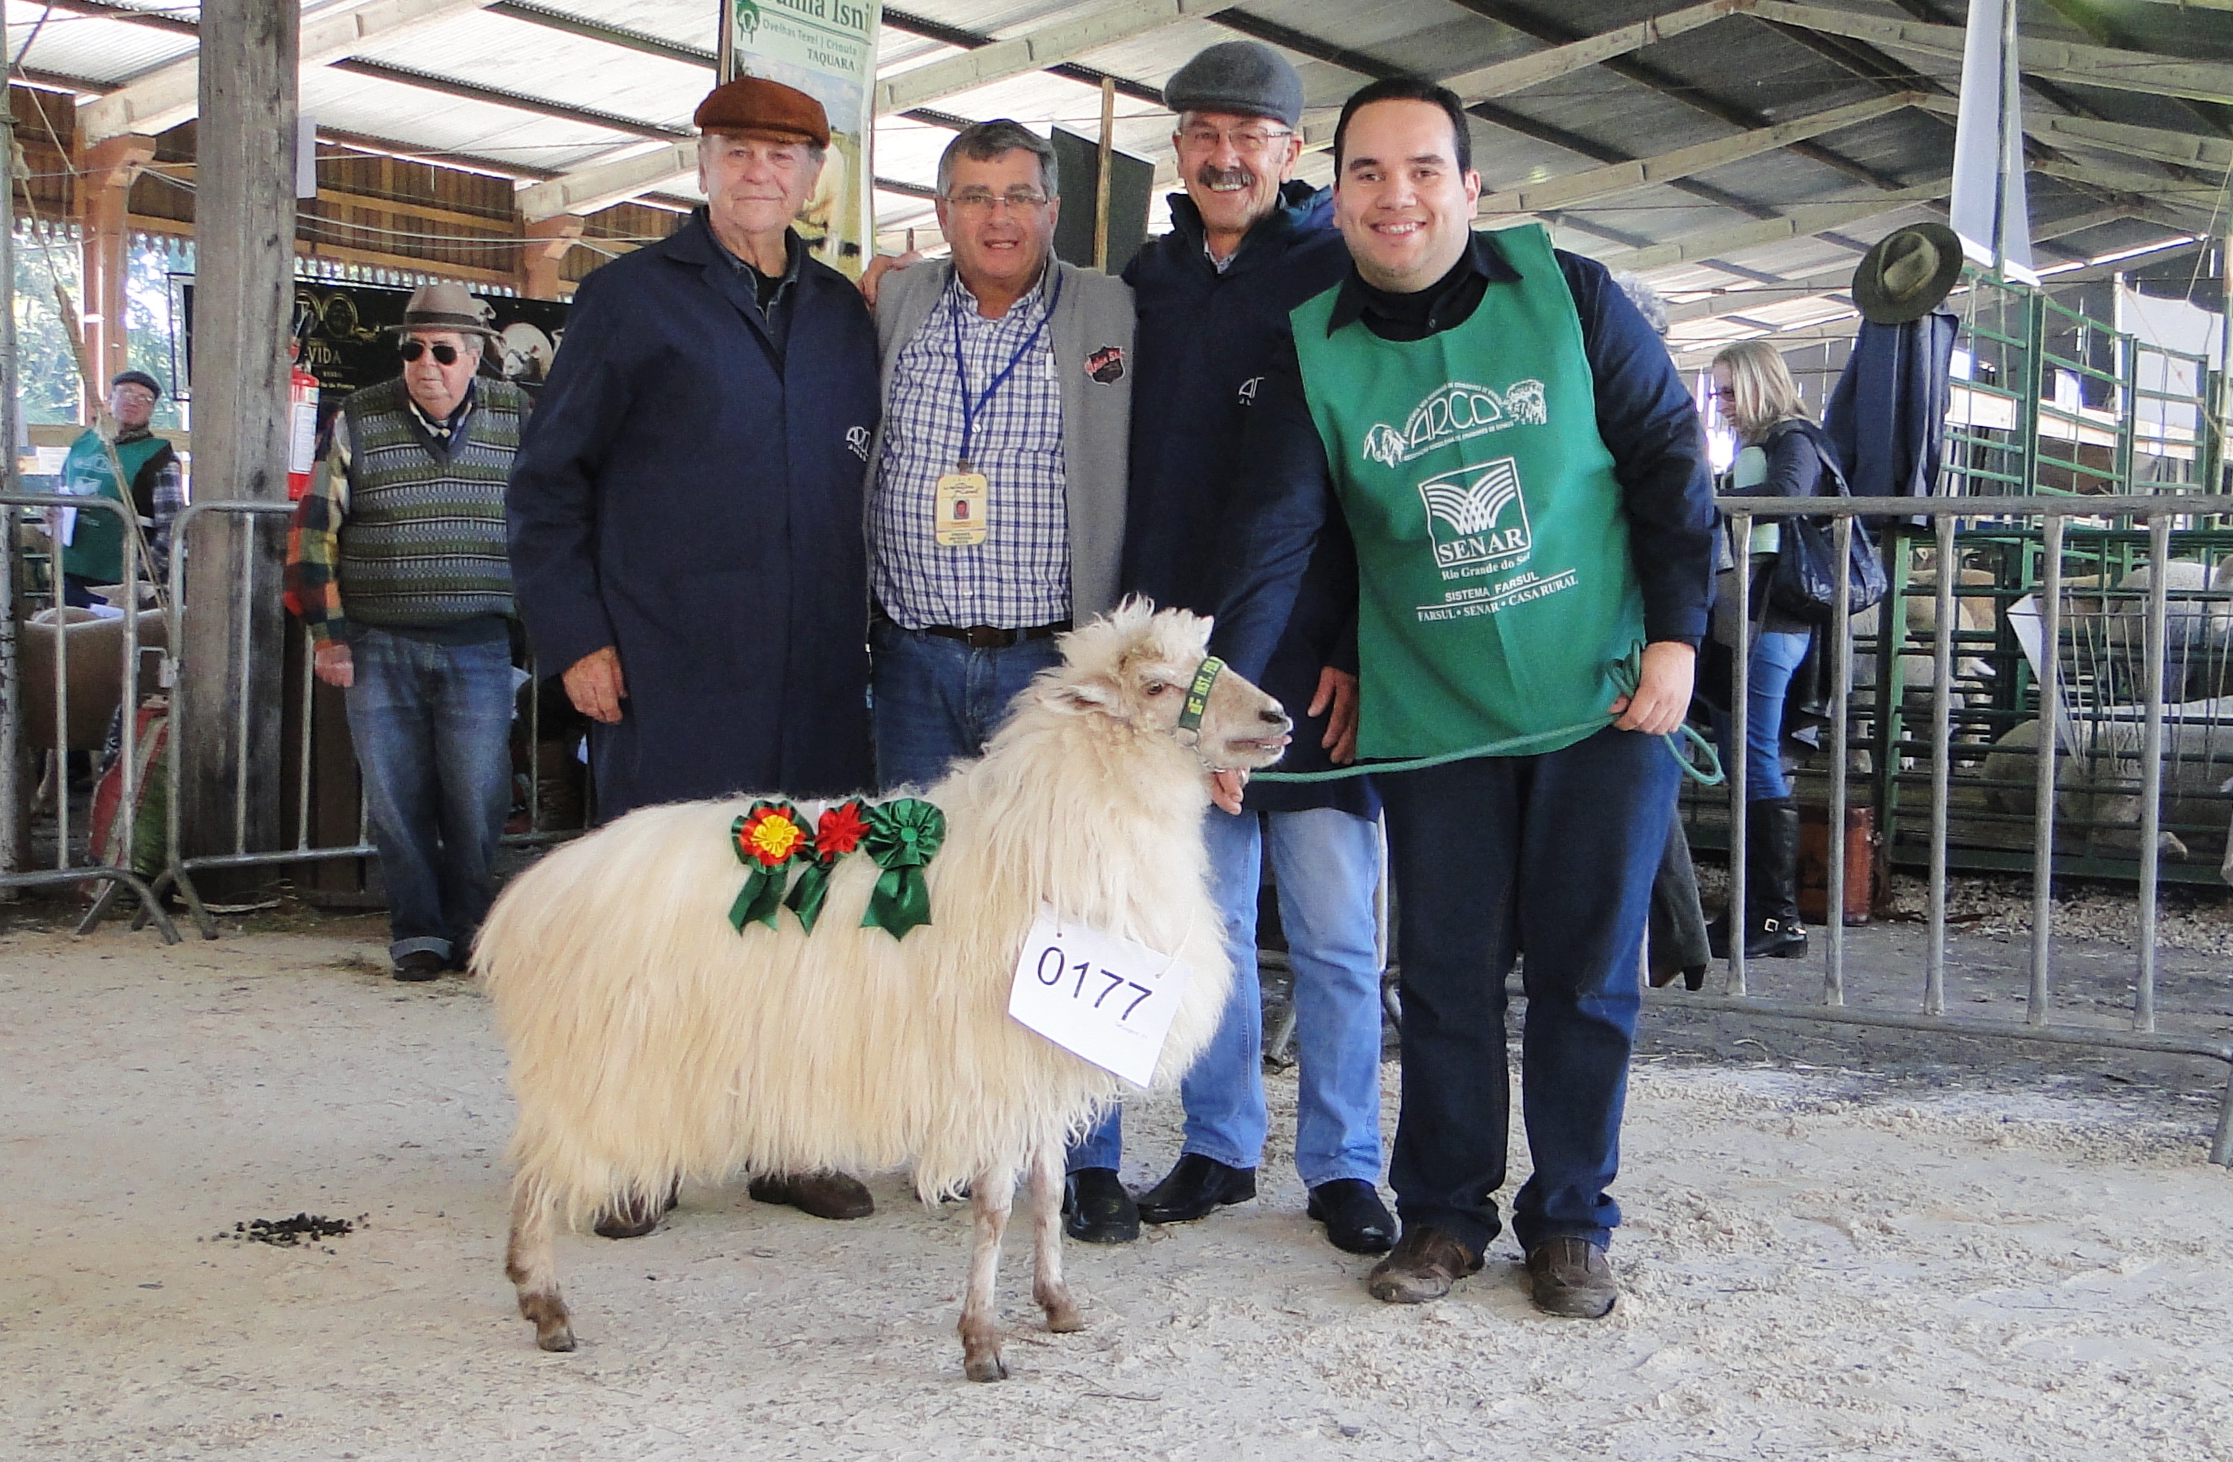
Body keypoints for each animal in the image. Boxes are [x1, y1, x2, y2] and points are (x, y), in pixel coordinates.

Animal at [476, 602, 1293, 1382]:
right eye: (1156, 687)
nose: (1279, 718)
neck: (1041, 841)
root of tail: (527, 898)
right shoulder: (992, 1071)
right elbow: (997, 1209)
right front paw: (982, 1343)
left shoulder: (1037, 1063)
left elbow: (1047, 1191)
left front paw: (1057, 1303)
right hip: (589, 1063)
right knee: (535, 1174)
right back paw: (545, 1305)